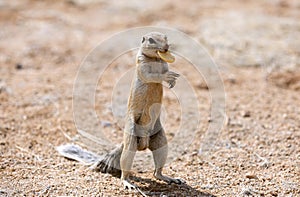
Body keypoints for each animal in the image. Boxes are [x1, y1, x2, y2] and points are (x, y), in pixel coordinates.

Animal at [57, 31, 182, 189]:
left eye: (166, 38)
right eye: (151, 40)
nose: (166, 47)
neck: (155, 58)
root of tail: (143, 142)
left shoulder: (163, 64)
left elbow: (165, 70)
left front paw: (172, 80)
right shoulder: (141, 65)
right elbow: (151, 76)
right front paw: (167, 76)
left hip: (160, 139)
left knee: (156, 171)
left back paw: (168, 177)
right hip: (131, 136)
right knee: (126, 164)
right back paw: (127, 182)